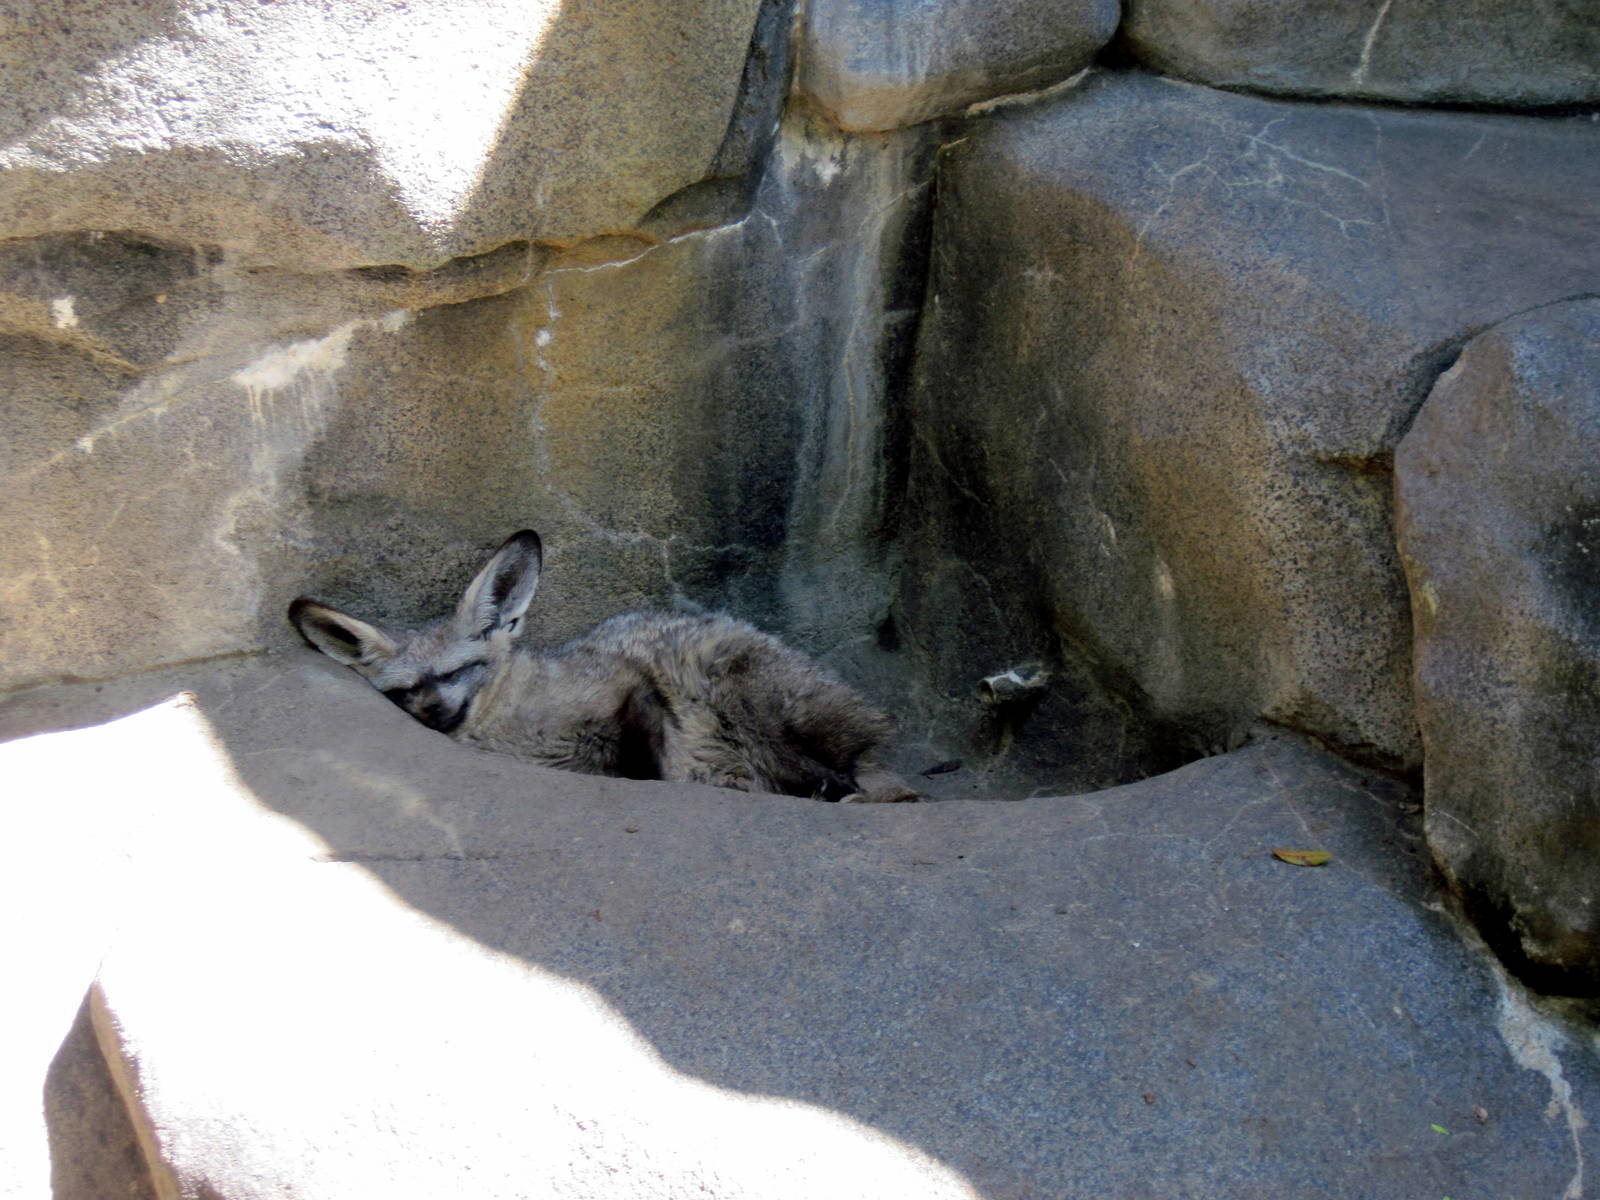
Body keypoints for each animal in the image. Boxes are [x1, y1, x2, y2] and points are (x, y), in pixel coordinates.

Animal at [288, 530, 917, 803]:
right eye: (403, 691)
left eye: (454, 672)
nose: (432, 714)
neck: (512, 724)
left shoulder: (630, 689)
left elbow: (646, 759)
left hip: (749, 696)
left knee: (872, 780)